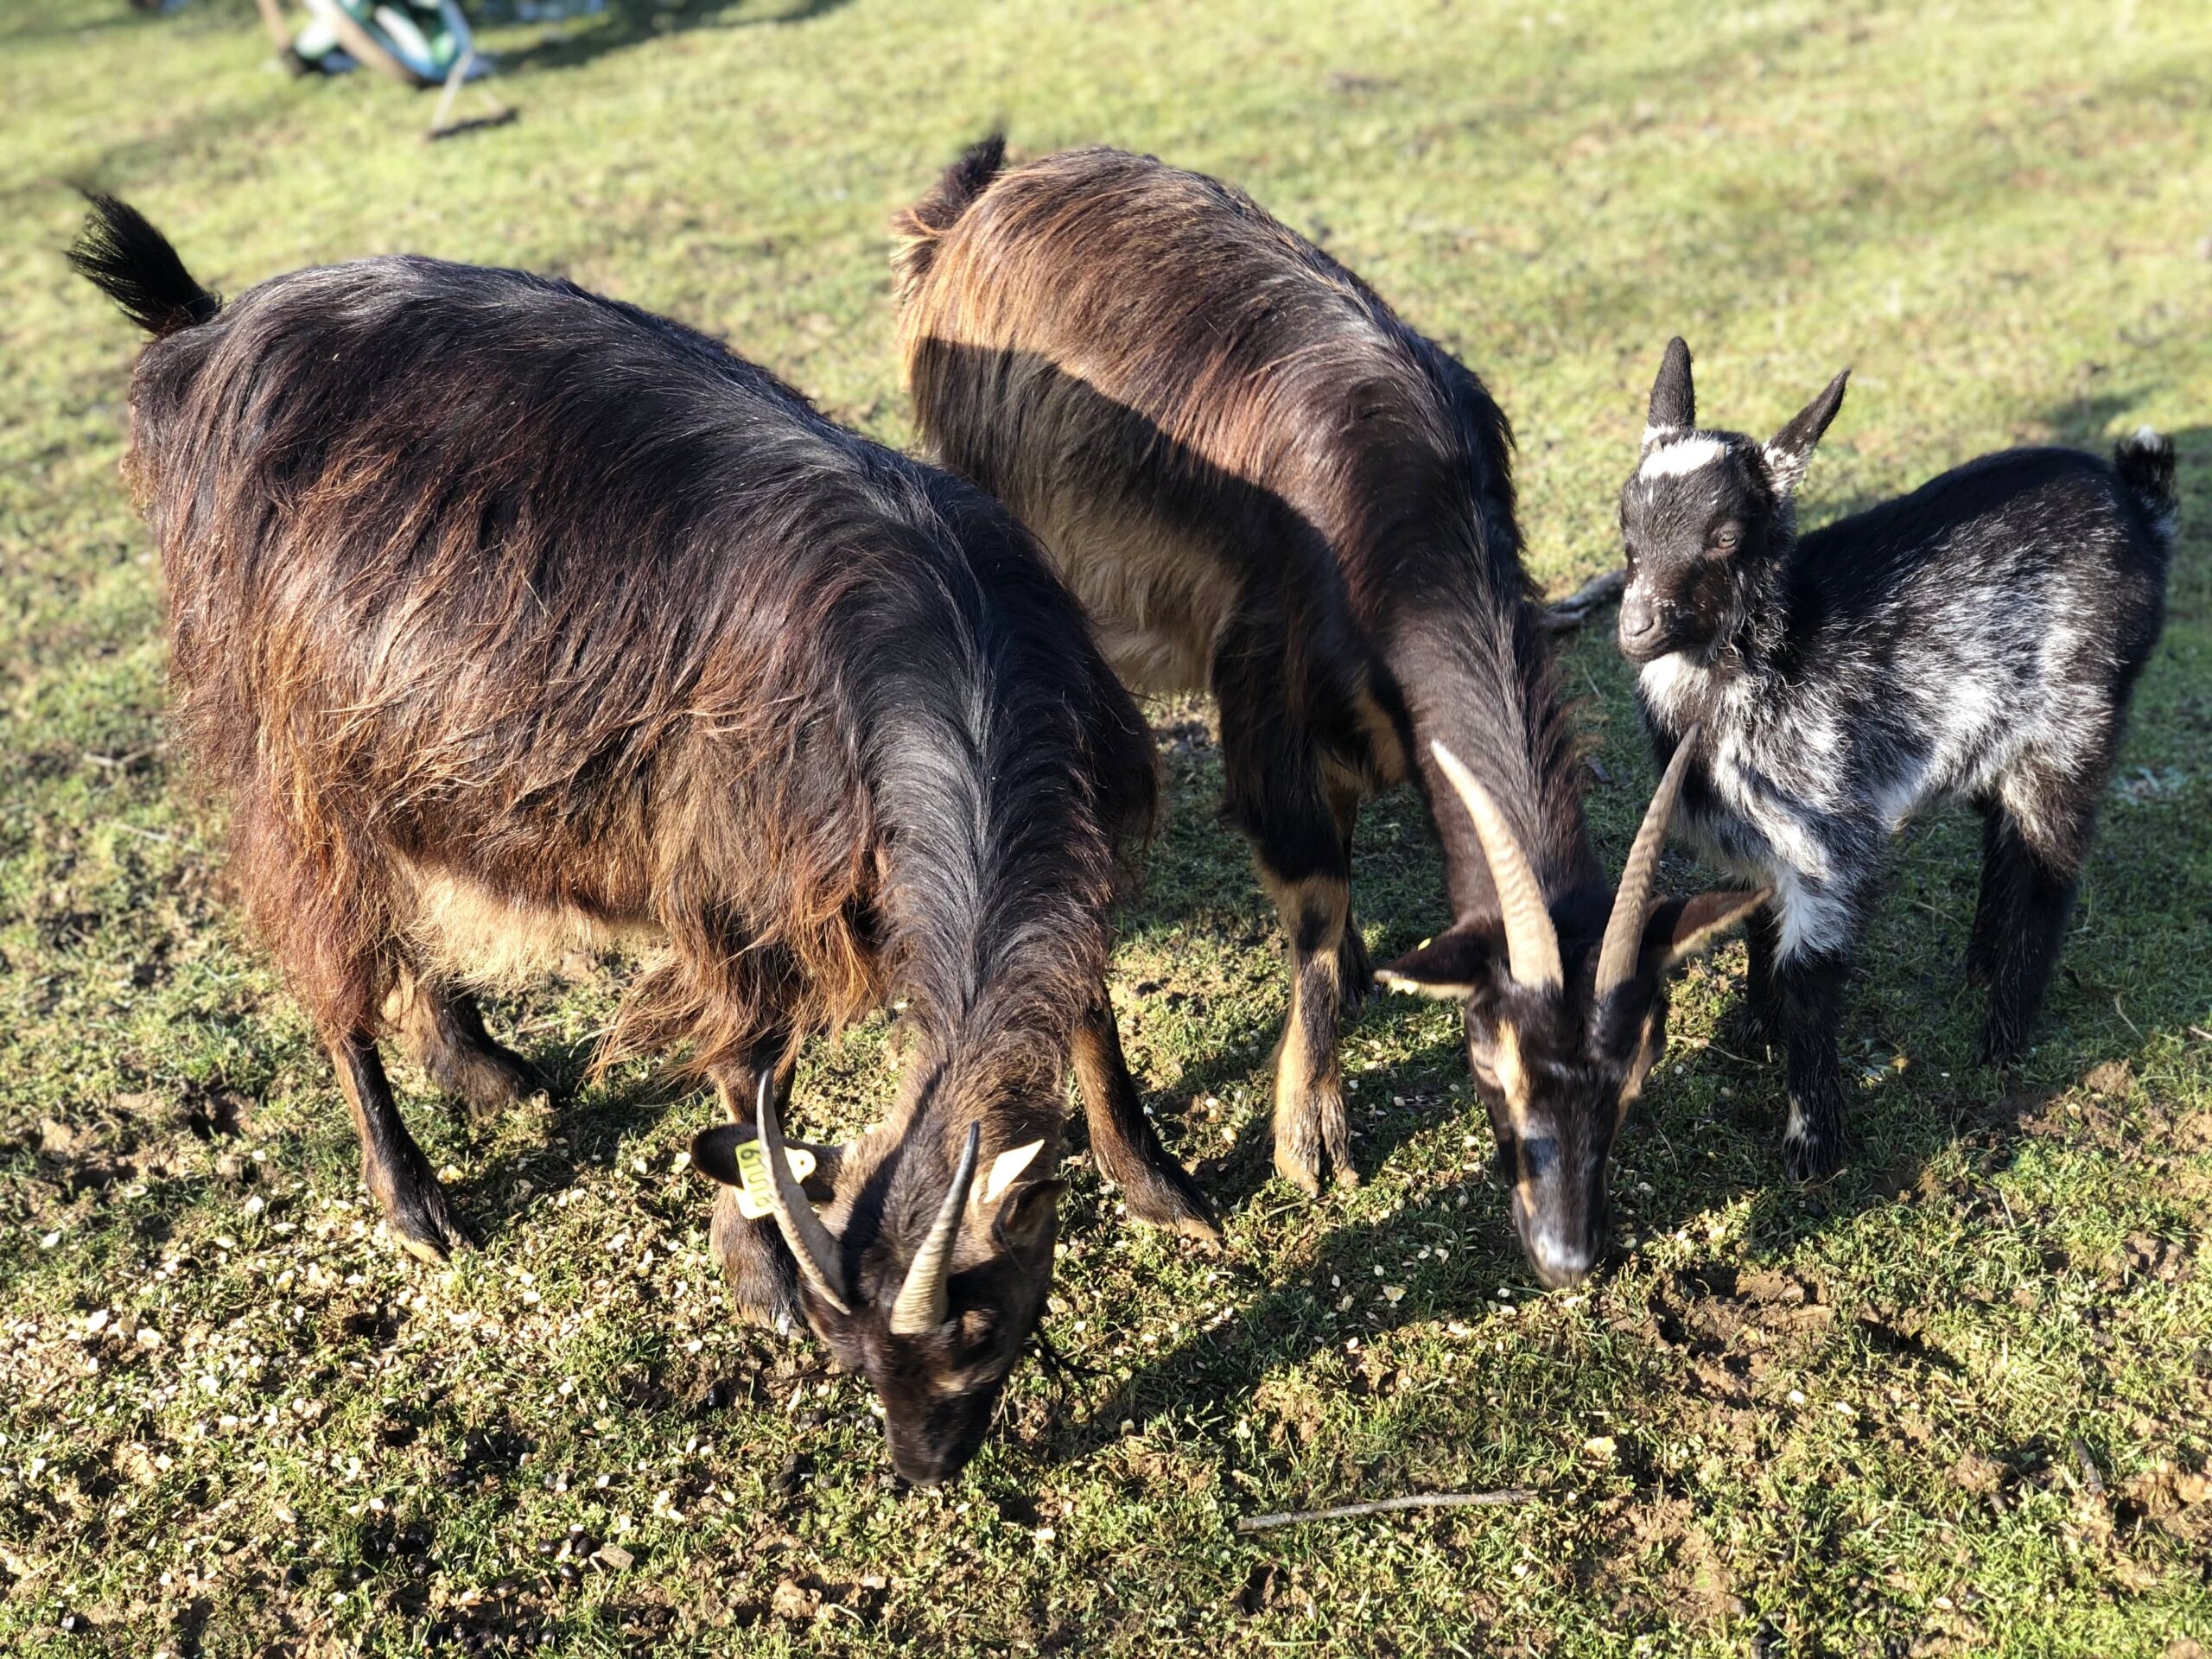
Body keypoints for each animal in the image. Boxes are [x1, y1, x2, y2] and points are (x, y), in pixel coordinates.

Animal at [73, 198, 1211, 1495]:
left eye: (979, 1329)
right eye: (854, 1359)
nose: (922, 1471)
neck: (947, 652)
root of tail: (206, 331)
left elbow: (1085, 1010)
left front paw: (1160, 1183)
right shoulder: (735, 885)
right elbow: (750, 1071)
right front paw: (761, 1270)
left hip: (396, 732)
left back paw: (482, 1064)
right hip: (282, 749)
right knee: (330, 960)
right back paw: (414, 1200)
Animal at [889, 139, 1770, 1282]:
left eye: (1637, 1071)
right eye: (1491, 1064)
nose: (1568, 1255)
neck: (1405, 502)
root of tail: (977, 201)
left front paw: (1353, 981)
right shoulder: (1263, 678)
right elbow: (1312, 884)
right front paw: (1311, 1132)